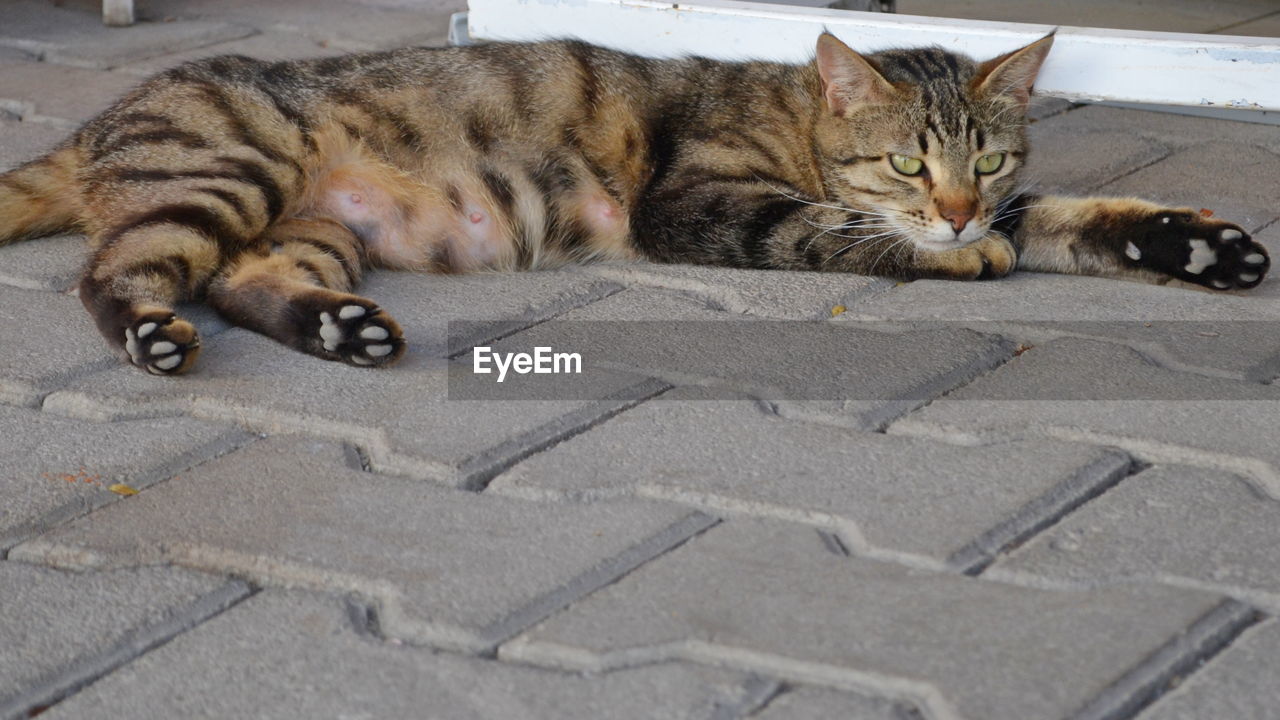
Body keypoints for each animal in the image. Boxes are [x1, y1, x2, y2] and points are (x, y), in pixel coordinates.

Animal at [0, 30, 1264, 371]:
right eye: (909, 165)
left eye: (984, 161)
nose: (954, 210)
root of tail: (110, 112)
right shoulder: (694, 203)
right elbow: (828, 229)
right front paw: (946, 256)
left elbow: (1071, 219)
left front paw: (1196, 248)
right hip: (227, 175)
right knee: (113, 273)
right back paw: (152, 334)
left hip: (307, 229)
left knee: (249, 281)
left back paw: (340, 329)